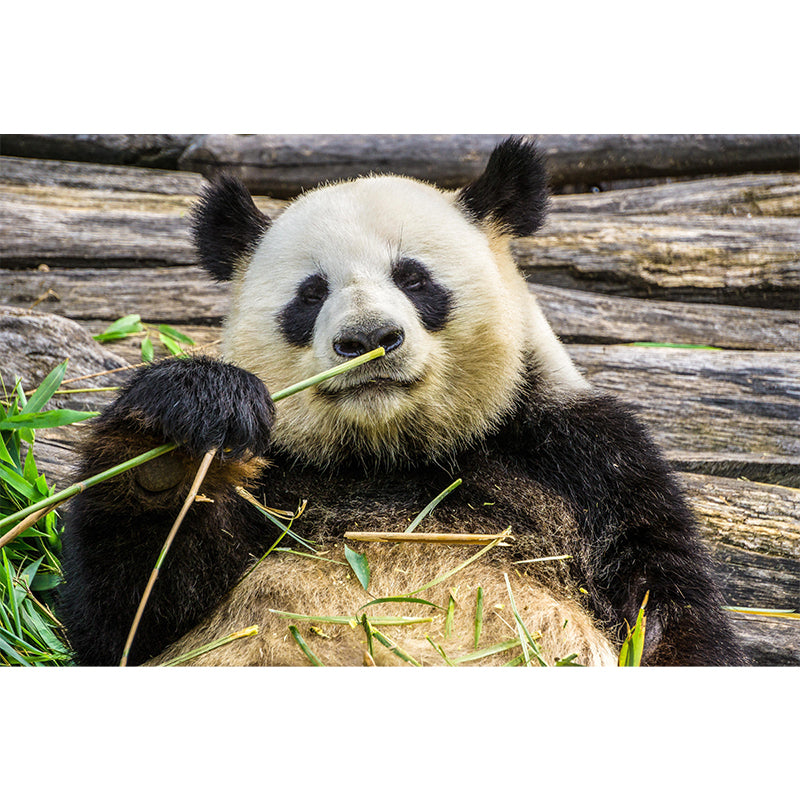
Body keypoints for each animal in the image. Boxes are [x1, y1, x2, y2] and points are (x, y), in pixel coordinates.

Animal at [58, 137, 746, 667]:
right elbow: (131, 619)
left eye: (414, 279)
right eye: (311, 293)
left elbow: (668, 610)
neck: (390, 453)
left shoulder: (586, 462)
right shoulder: (280, 481)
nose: (368, 340)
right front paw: (174, 441)